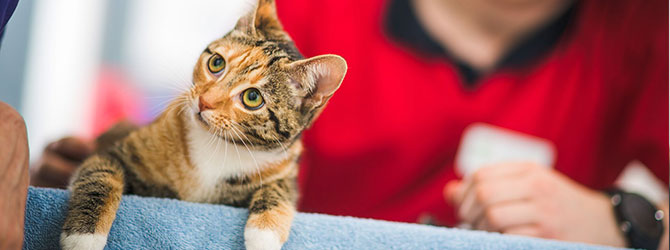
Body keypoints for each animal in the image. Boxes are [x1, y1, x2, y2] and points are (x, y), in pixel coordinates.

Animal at [60, 0, 350, 249]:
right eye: (216, 63)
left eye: (252, 97)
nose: (204, 101)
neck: (216, 144)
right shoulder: (116, 152)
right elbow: (101, 175)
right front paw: (83, 237)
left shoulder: (283, 166)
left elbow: (280, 188)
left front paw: (264, 234)